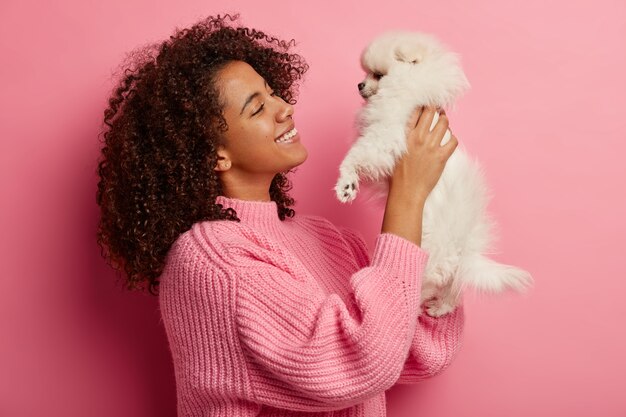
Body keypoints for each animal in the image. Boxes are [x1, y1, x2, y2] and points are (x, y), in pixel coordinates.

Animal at [334, 30, 532, 316]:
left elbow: (358, 154)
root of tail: (464, 250)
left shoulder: (385, 136)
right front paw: (350, 185)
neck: (406, 84)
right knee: (452, 289)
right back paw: (439, 308)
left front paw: (345, 183)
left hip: (432, 255)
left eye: (378, 75)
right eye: (367, 73)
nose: (359, 85)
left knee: (430, 285)